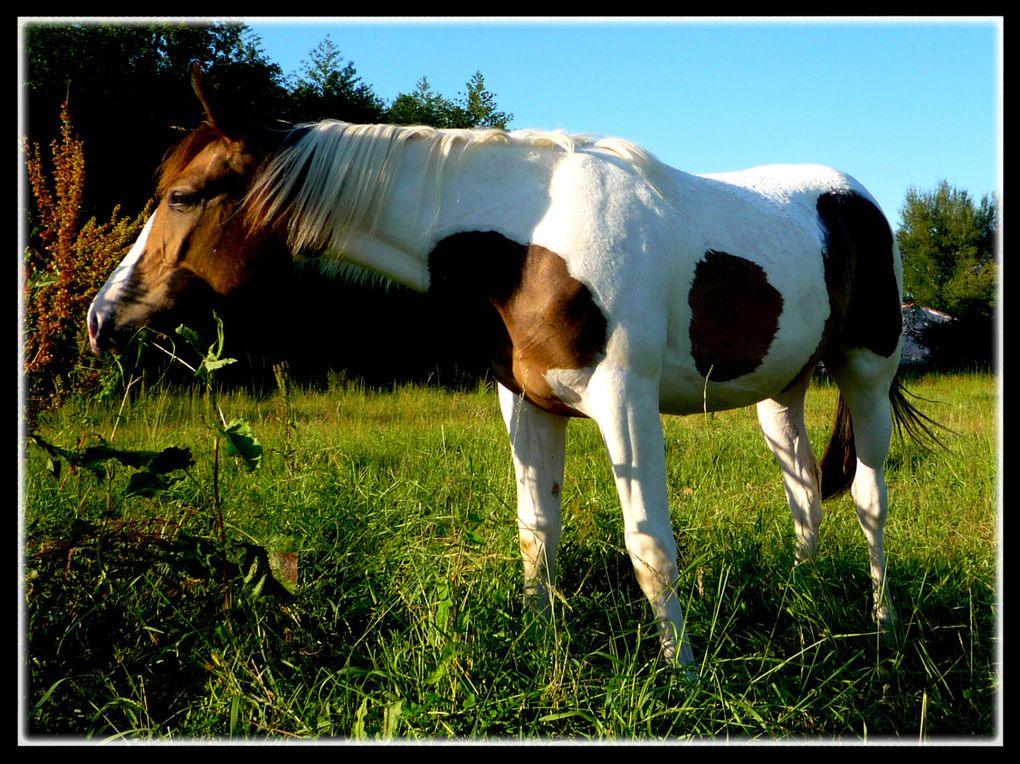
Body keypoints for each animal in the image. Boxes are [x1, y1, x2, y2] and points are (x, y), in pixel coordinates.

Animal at [83, 66, 934, 660]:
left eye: (184, 196)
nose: (101, 318)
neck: (527, 246)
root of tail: (855, 199)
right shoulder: (525, 403)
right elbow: (536, 534)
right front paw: (536, 646)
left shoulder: (624, 404)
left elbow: (650, 548)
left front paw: (683, 675)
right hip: (779, 388)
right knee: (803, 492)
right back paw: (801, 599)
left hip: (866, 371)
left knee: (869, 499)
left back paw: (885, 626)